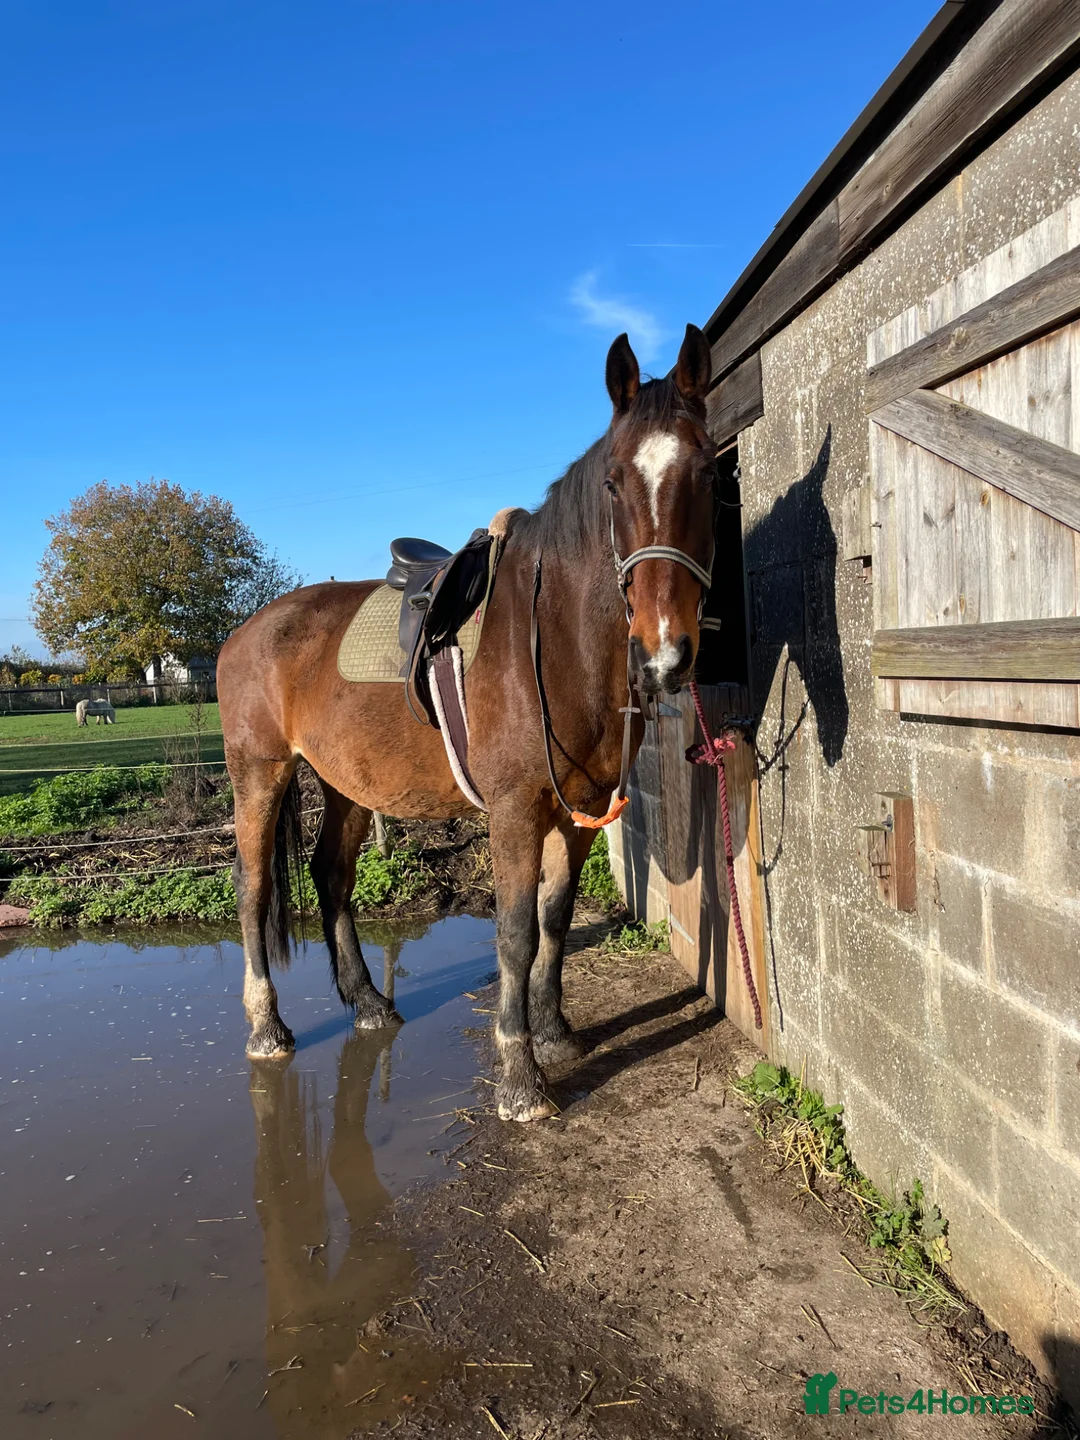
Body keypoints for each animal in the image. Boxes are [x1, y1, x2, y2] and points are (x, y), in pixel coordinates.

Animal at [216, 324, 718, 1122]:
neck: (554, 637)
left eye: (708, 472)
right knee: (254, 888)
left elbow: (554, 918)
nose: (665, 652)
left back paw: (368, 1003)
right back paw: (268, 1027)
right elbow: (514, 934)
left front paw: (555, 1033)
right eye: (613, 482)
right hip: (259, 775)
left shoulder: (576, 812)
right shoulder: (515, 811)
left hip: (345, 784)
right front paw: (521, 1077)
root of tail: (244, 633)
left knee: (331, 875)